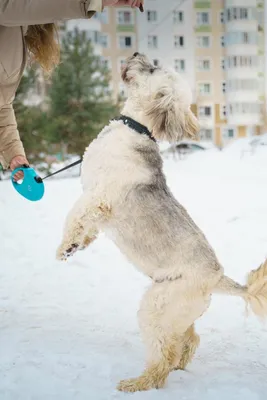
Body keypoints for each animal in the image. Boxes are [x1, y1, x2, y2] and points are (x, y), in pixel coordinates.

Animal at [56, 53, 267, 394]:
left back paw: (139, 382)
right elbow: (89, 227)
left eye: (153, 67)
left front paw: (66, 247)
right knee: (189, 338)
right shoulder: (97, 207)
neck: (136, 127)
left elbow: (75, 216)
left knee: (163, 357)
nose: (135, 54)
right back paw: (179, 363)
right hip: (177, 311)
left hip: (157, 307)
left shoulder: (97, 197)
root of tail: (218, 278)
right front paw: (79, 246)